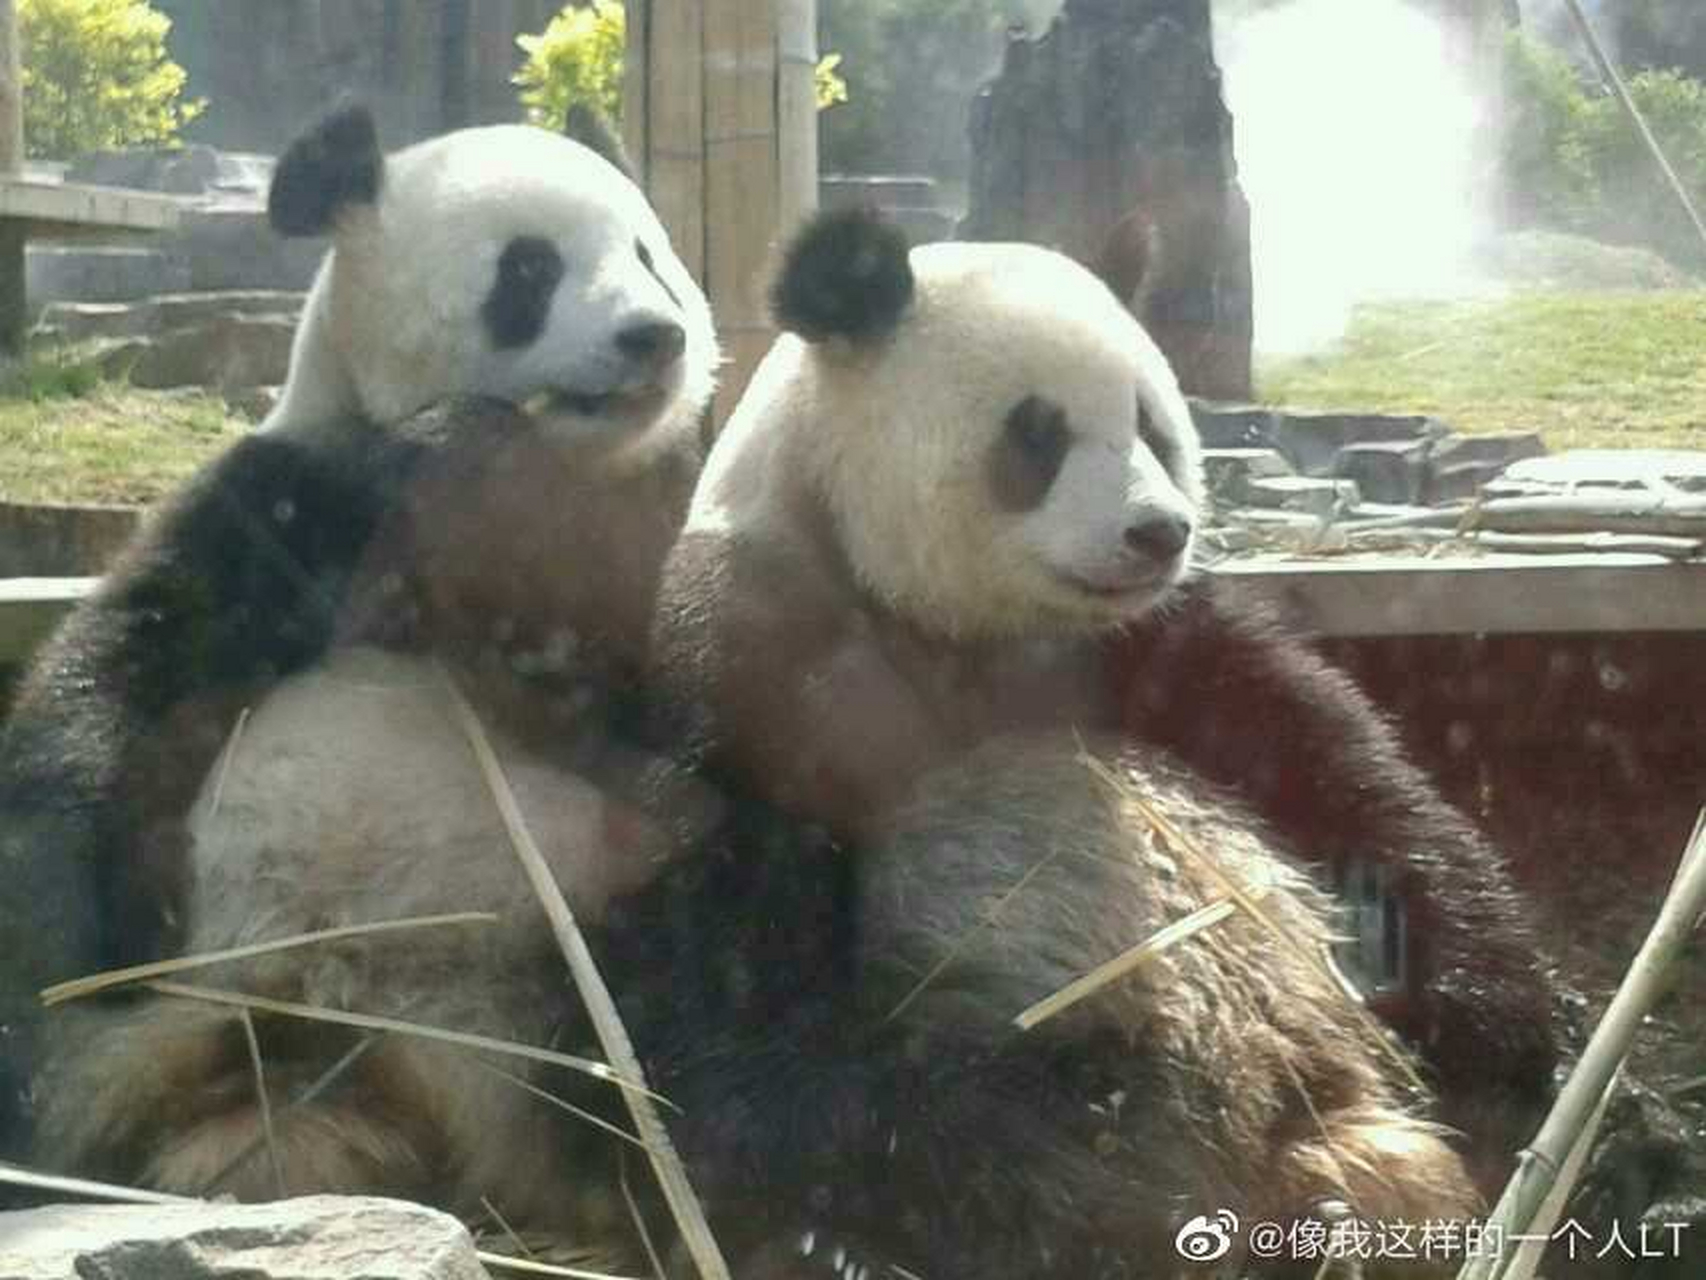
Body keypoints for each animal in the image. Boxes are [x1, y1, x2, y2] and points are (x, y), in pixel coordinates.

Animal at [0, 105, 713, 1167]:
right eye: (530, 270)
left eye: (648, 255)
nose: (653, 335)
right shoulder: (289, 501)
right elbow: (119, 672)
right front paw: (106, 925)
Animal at [658, 210, 1562, 1194]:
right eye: (1038, 433)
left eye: (1152, 426)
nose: (1160, 531)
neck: (953, 625)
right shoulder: (761, 662)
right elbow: (751, 1004)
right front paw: (1088, 1134)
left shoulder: (1138, 645)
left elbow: (1339, 773)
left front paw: (1497, 1019)